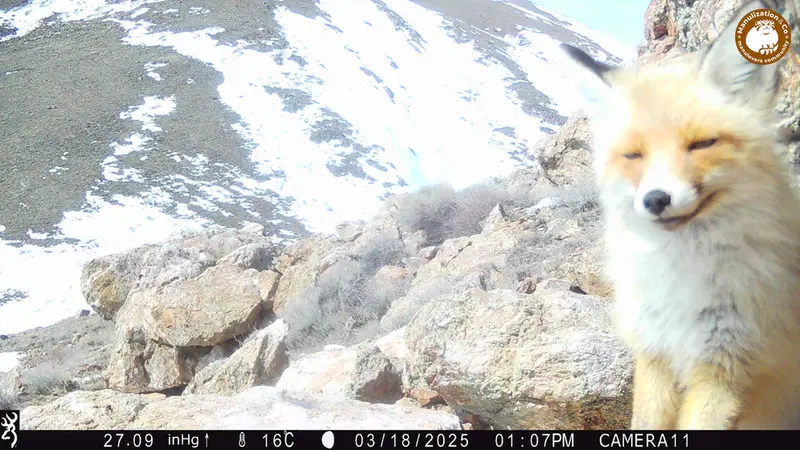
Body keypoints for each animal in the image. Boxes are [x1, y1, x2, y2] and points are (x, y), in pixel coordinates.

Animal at [560, 0, 800, 430]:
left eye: (702, 144)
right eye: (633, 155)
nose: (656, 199)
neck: (680, 279)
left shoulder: (725, 367)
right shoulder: (653, 352)